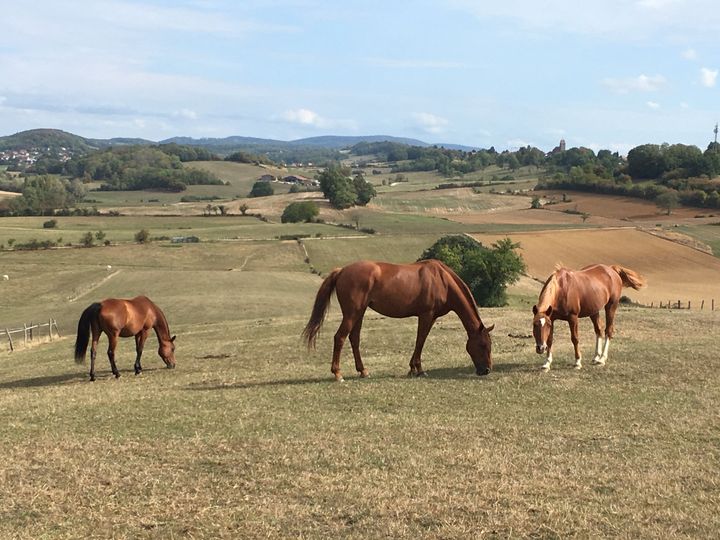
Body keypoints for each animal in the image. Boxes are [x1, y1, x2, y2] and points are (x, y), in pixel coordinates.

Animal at [300, 260, 496, 382]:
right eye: (483, 345)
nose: (486, 370)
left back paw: (363, 371)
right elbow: (420, 340)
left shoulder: (431, 317)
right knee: (339, 337)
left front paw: (413, 368)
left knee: (354, 339)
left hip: (359, 313)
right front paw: (418, 369)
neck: (442, 280)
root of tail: (341, 271)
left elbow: (420, 341)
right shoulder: (426, 315)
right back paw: (338, 374)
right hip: (352, 313)